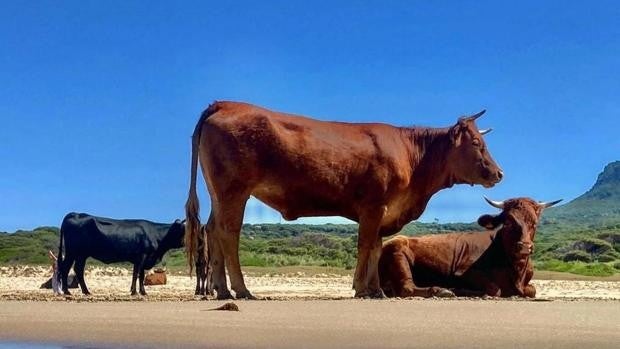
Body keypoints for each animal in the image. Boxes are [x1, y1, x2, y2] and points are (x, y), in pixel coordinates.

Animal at [57, 211, 185, 294]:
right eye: (182, 230)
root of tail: (75, 213)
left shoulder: (142, 259)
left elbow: (139, 275)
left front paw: (140, 292)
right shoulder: (142, 256)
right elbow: (137, 274)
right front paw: (136, 292)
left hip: (80, 254)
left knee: (76, 269)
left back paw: (84, 291)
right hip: (73, 252)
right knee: (67, 268)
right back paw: (68, 291)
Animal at [184, 100, 504, 300]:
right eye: (477, 143)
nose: (499, 173)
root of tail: (226, 103)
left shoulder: (384, 211)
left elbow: (375, 248)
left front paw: (377, 290)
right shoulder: (373, 206)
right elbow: (365, 246)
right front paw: (362, 288)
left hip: (219, 194)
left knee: (212, 230)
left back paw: (222, 290)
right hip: (234, 191)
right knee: (229, 233)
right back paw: (241, 290)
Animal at [378, 197, 560, 298]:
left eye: (534, 223)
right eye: (508, 222)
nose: (524, 247)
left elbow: (532, 290)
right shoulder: (463, 272)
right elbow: (494, 289)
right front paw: (459, 289)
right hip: (398, 251)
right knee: (407, 288)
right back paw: (441, 291)